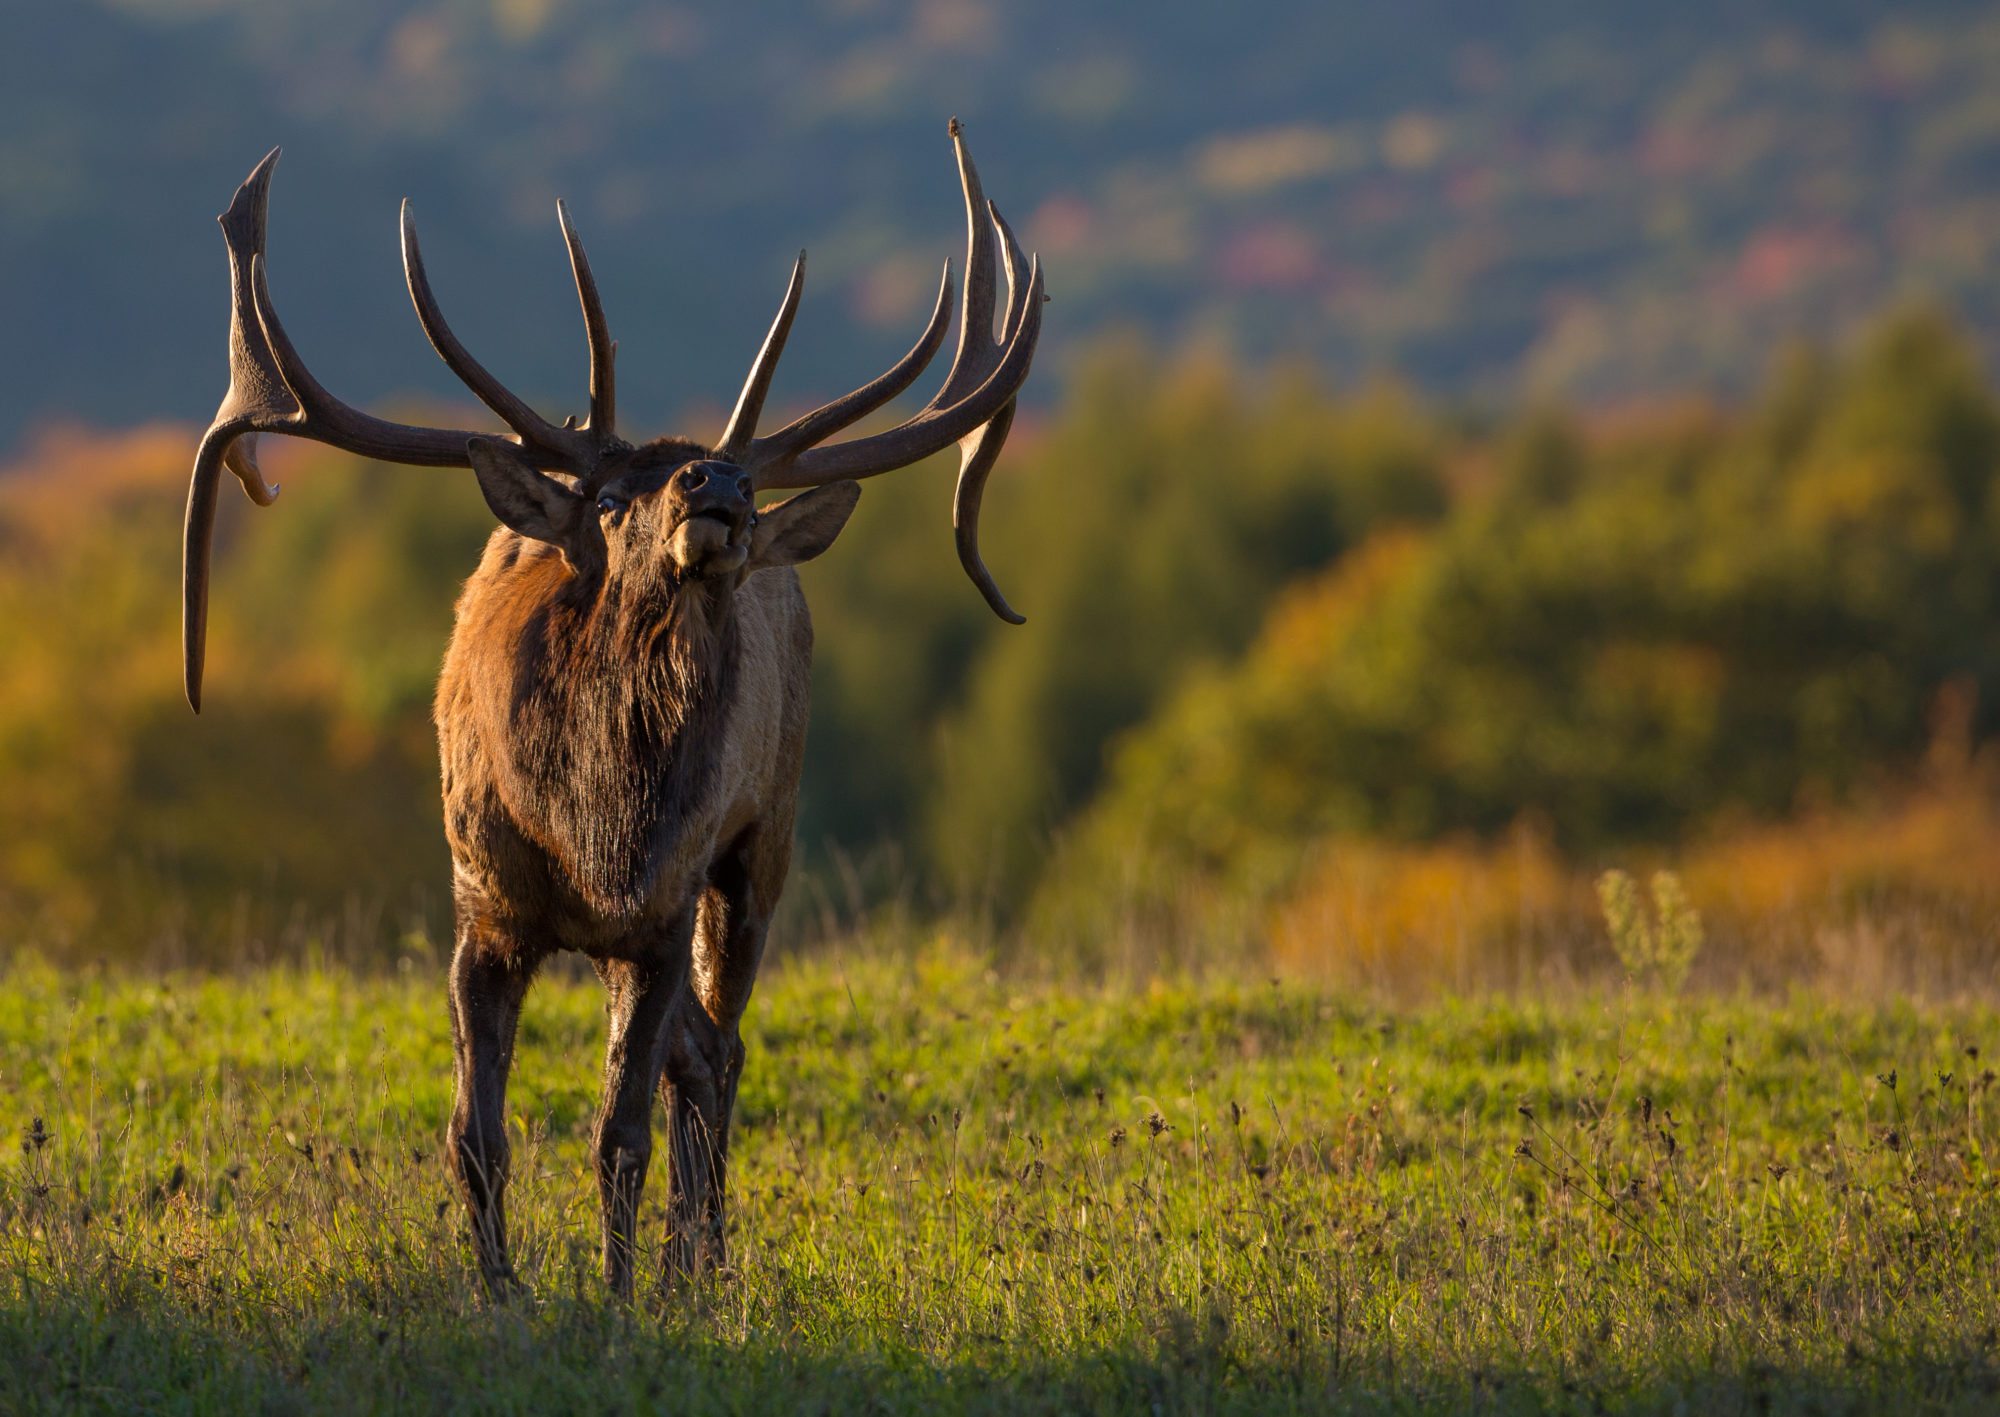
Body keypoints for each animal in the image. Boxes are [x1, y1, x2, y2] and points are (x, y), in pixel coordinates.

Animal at [180, 120, 1042, 1296]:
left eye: (727, 486)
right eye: (608, 498)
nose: (716, 486)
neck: (593, 827)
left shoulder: (660, 909)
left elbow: (618, 1131)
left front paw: (621, 1293)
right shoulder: (484, 901)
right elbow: (474, 1133)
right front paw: (500, 1292)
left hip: (762, 842)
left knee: (721, 1046)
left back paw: (699, 1262)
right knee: (700, 1054)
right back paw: (690, 1259)